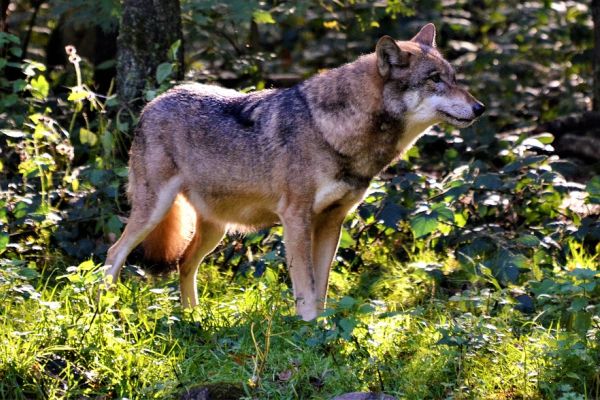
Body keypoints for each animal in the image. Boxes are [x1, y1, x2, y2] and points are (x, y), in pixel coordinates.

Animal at [104, 23, 482, 320]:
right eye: (434, 80)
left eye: (453, 78)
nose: (479, 107)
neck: (334, 131)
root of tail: (153, 102)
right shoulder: (296, 218)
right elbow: (306, 287)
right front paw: (309, 331)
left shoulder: (332, 222)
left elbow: (322, 287)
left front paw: (324, 332)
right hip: (154, 212)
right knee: (113, 254)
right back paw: (103, 311)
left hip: (215, 230)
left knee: (184, 264)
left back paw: (193, 319)